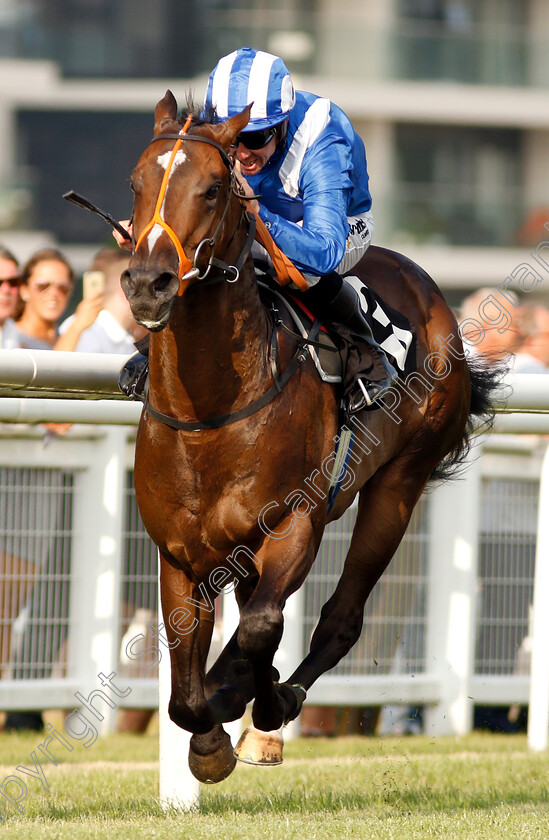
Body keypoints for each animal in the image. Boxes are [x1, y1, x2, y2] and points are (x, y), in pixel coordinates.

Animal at [120, 93, 496, 788]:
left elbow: (259, 630)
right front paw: (208, 736)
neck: (212, 412)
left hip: (399, 484)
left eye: (212, 189)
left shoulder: (295, 520)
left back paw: (273, 699)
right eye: (136, 183)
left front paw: (245, 699)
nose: (147, 282)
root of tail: (432, 294)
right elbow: (184, 687)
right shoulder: (181, 551)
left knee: (339, 618)